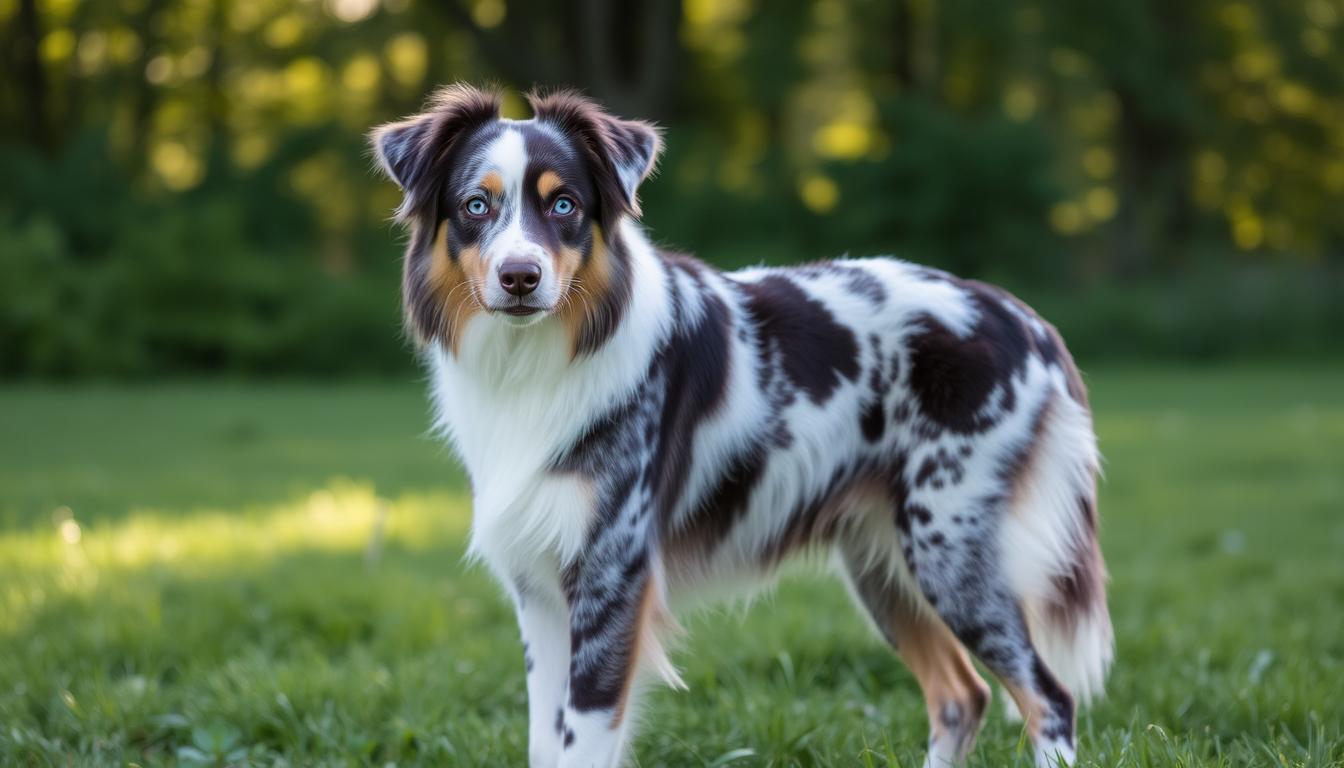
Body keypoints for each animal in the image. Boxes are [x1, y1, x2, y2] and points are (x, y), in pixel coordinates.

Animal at [370, 85, 1112, 768]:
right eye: (476, 205)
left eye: (564, 205)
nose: (520, 277)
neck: (537, 361)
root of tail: (1024, 318)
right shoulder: (540, 588)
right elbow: (545, 743)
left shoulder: (612, 577)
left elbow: (584, 738)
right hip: (883, 563)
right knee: (963, 695)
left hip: (949, 549)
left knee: (1049, 696)